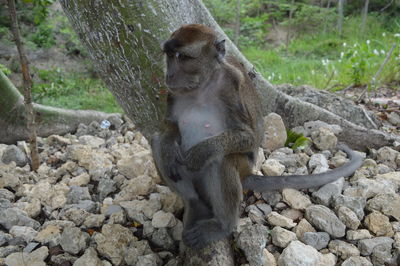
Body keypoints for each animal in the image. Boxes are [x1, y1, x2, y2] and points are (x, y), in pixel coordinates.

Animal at [150, 23, 362, 248]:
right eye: (169, 56)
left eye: (183, 57)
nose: (169, 75)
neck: (201, 87)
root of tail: (246, 175)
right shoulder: (173, 92)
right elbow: (168, 127)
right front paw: (169, 147)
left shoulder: (230, 87)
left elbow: (249, 137)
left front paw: (202, 151)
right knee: (157, 142)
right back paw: (194, 203)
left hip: (240, 167)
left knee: (224, 159)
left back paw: (222, 225)